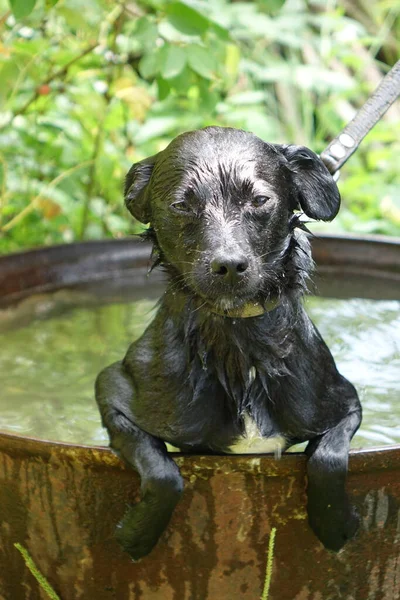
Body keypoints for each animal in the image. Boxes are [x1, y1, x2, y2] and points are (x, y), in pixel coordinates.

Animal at [97, 124, 362, 560]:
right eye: (182, 205)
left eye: (259, 200)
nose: (229, 265)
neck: (241, 345)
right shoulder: (112, 391)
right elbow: (163, 472)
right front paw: (137, 533)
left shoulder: (345, 403)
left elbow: (328, 457)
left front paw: (334, 525)